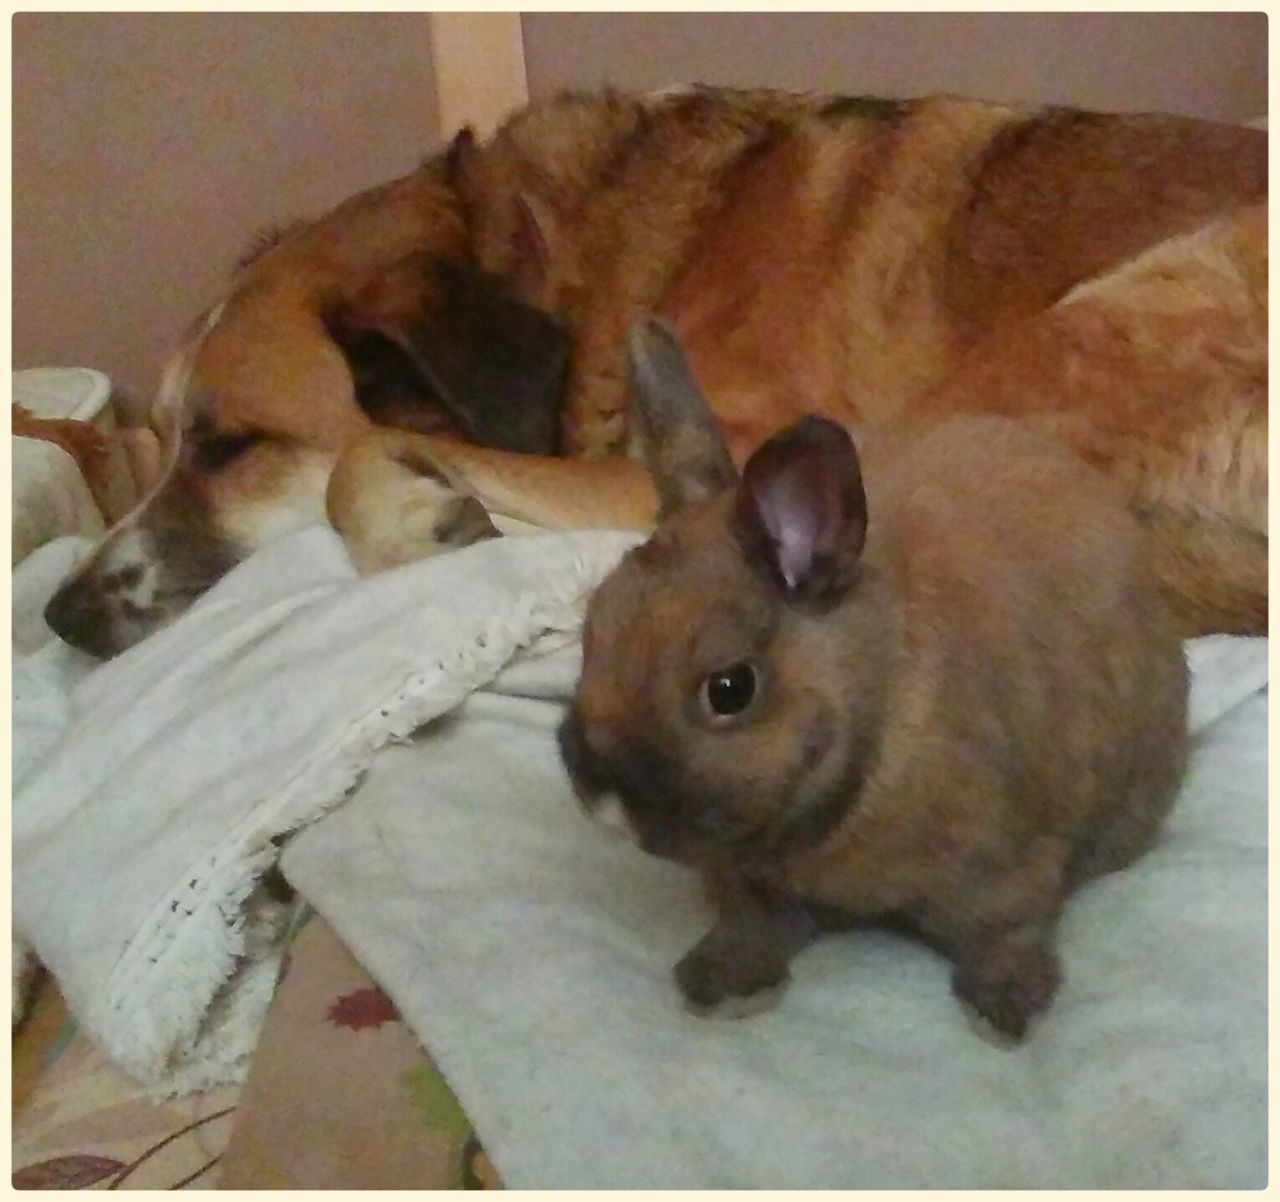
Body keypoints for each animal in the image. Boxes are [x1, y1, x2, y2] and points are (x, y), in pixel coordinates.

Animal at [45, 87, 1264, 660]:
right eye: (157, 442)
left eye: (228, 447)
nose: (53, 615)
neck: (558, 252)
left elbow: (367, 459)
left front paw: (422, 522)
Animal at [560, 314, 1187, 1039]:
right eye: (592, 633)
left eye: (730, 689)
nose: (600, 793)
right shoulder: (750, 885)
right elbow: (750, 925)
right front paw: (719, 984)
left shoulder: (1013, 869)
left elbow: (1009, 931)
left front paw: (1003, 1009)